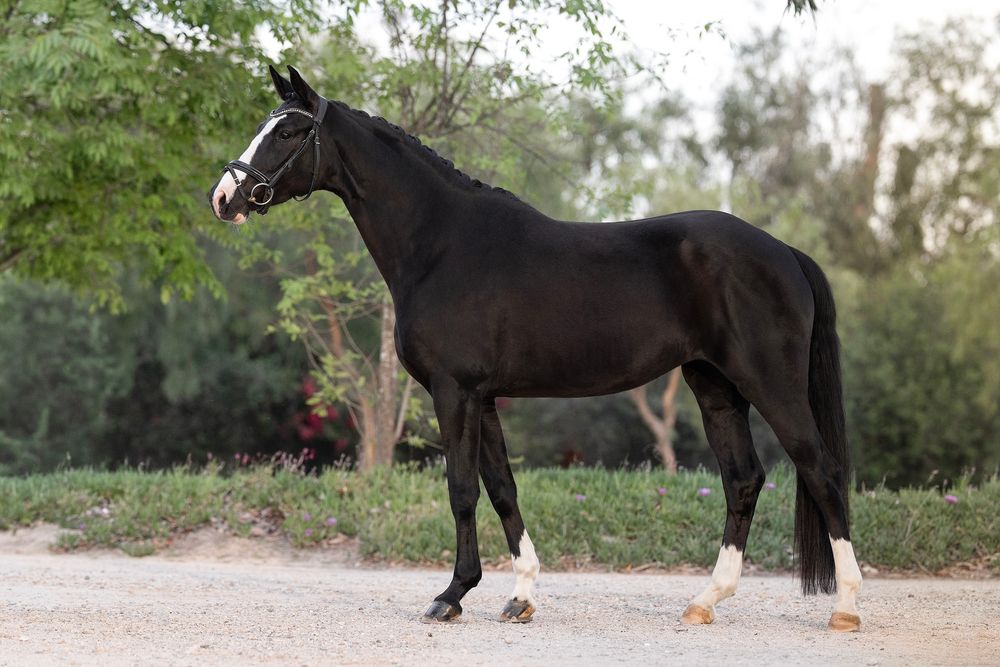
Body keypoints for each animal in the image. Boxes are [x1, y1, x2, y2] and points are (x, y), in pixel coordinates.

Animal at [208, 65, 863, 632]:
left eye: (288, 131)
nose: (224, 197)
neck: (442, 243)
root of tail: (784, 251)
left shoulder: (454, 391)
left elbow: (462, 489)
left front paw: (451, 596)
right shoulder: (484, 396)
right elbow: (502, 489)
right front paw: (520, 596)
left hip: (769, 382)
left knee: (820, 468)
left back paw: (847, 607)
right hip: (715, 386)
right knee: (744, 480)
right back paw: (706, 600)